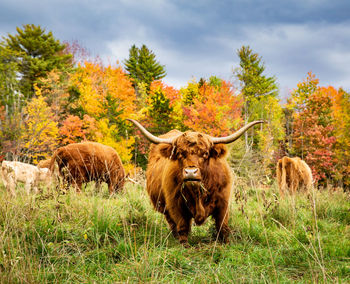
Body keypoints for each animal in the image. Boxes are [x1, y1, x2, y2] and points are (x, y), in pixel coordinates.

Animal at [128, 118, 262, 245]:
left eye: (206, 153)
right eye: (180, 154)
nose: (191, 172)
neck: (197, 192)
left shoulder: (223, 203)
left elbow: (222, 226)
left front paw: (226, 243)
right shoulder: (175, 204)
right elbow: (182, 226)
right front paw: (184, 245)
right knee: (172, 224)